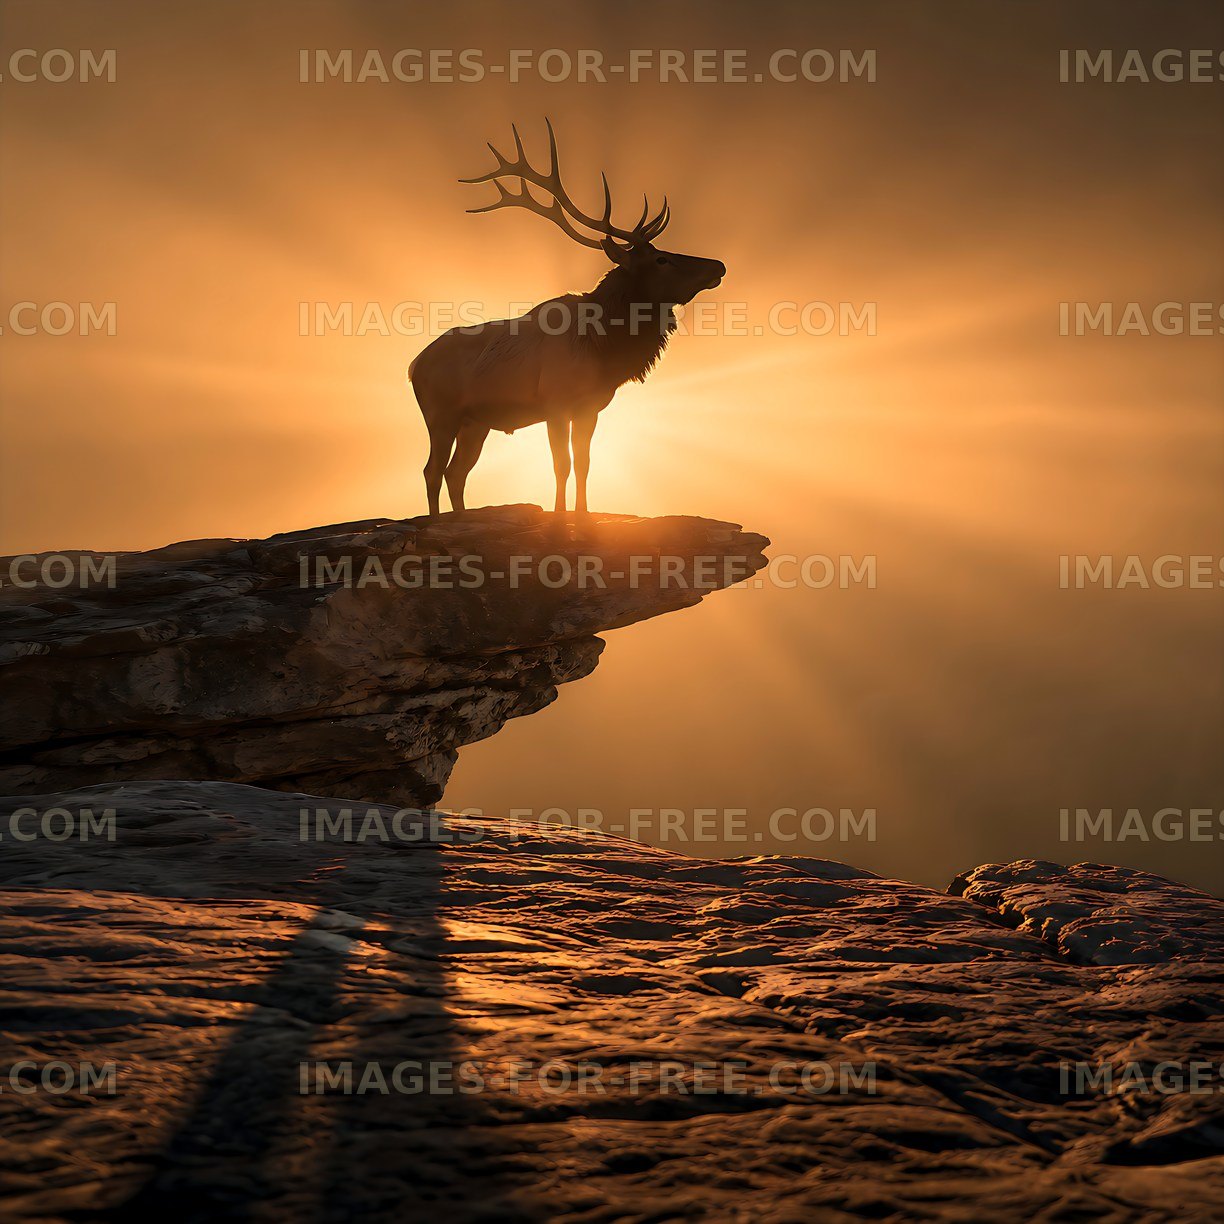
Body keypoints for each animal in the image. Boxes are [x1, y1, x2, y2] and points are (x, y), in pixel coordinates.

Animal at [408, 120, 725, 515]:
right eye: (661, 259)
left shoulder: (590, 408)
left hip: (475, 422)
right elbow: (562, 464)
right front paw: (559, 515)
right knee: (432, 470)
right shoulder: (555, 404)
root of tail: (413, 366)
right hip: (441, 413)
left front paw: (583, 514)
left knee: (456, 473)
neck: (605, 347)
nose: (719, 266)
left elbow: (585, 463)